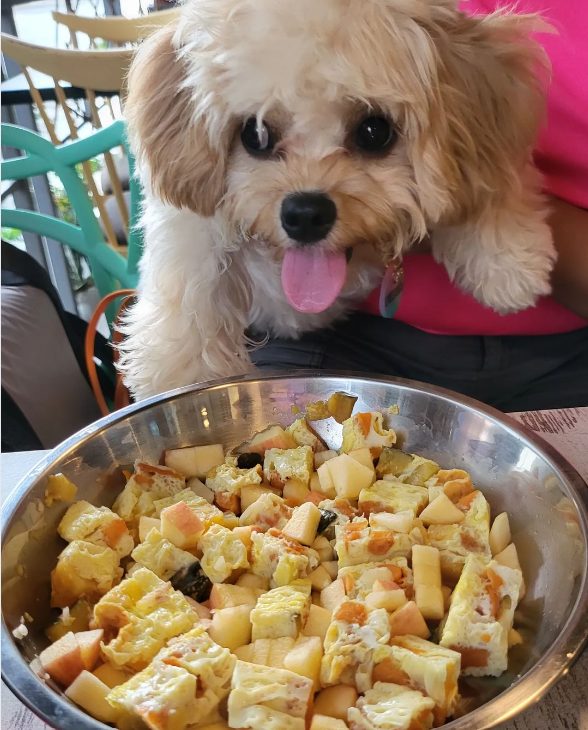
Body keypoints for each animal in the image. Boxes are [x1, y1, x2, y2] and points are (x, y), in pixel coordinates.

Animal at [120, 0, 556, 398]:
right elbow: (189, 304)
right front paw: (181, 377)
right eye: (255, 135)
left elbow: (489, 178)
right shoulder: (190, 232)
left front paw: (507, 260)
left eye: (374, 130)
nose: (305, 214)